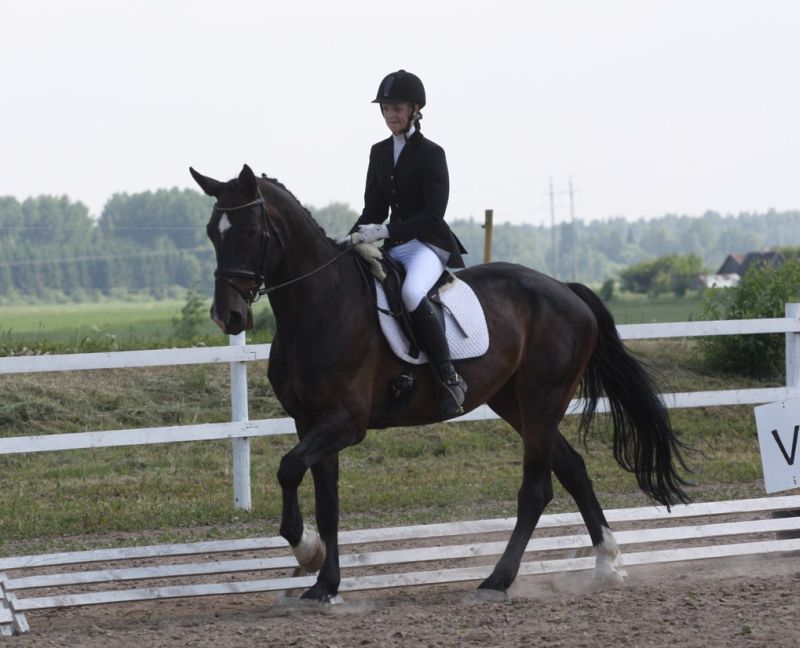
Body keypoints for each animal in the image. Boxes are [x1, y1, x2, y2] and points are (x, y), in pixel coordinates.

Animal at [189, 162, 688, 604]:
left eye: (251, 231)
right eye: (213, 233)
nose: (227, 316)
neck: (319, 307)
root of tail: (566, 289)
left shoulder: (346, 422)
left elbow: (289, 468)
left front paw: (308, 553)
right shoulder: (309, 421)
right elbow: (326, 504)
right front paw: (323, 585)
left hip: (543, 397)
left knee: (536, 490)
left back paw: (496, 581)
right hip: (516, 402)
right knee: (572, 469)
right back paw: (606, 564)